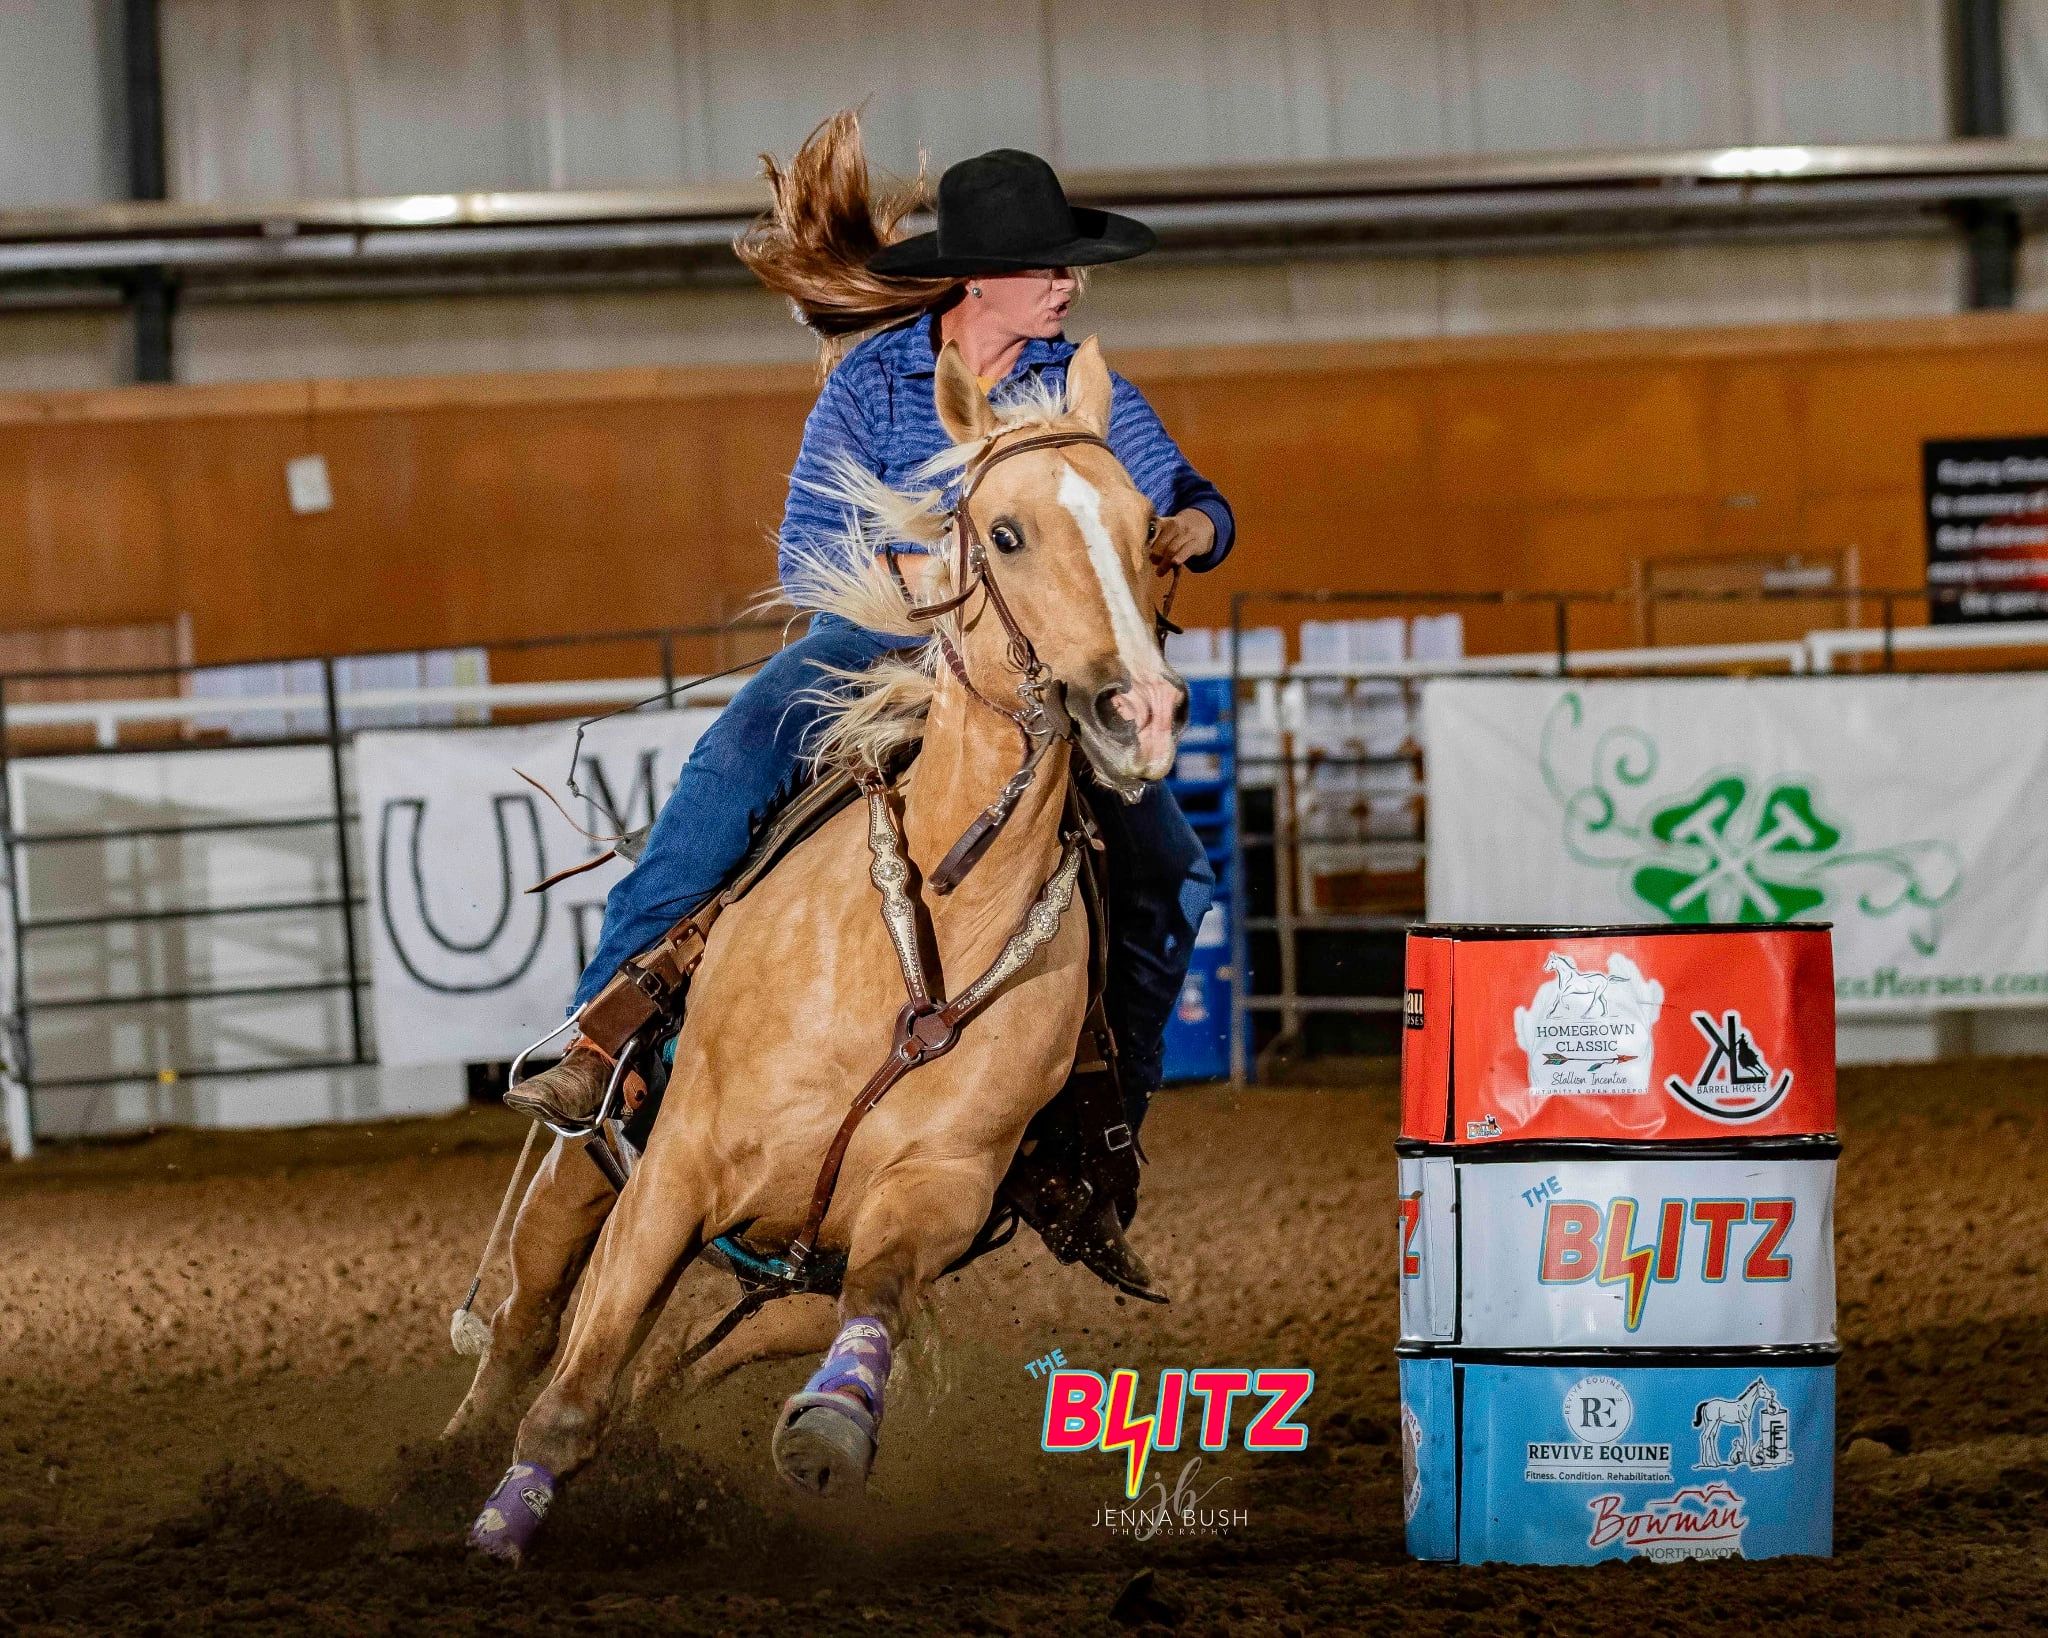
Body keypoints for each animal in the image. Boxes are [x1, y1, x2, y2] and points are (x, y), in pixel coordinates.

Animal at [453, 336, 1188, 1562]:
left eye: (1148, 532)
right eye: (1004, 533)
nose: (1139, 713)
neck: (924, 942)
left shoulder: (933, 1196)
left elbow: (869, 1306)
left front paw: (831, 1432)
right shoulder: (677, 1168)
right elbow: (565, 1391)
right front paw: (501, 1526)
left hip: (783, 1292)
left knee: (662, 1366)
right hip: (587, 1169)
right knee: (528, 1323)